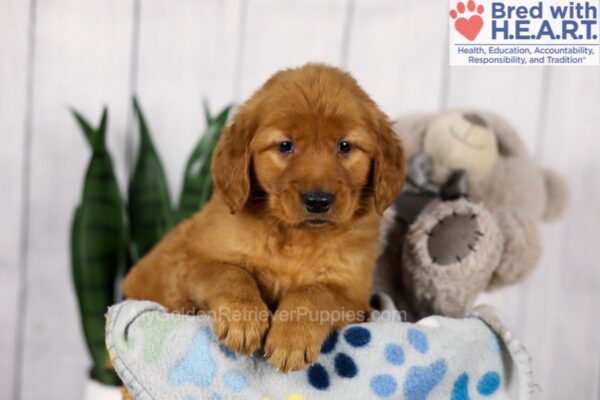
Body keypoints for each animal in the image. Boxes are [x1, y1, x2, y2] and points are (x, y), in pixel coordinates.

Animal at [126, 63, 408, 372]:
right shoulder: (190, 266)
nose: (318, 201)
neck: (295, 238)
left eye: (345, 146)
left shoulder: (353, 295)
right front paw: (243, 318)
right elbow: (231, 273)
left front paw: (292, 338)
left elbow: (314, 292)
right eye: (285, 146)